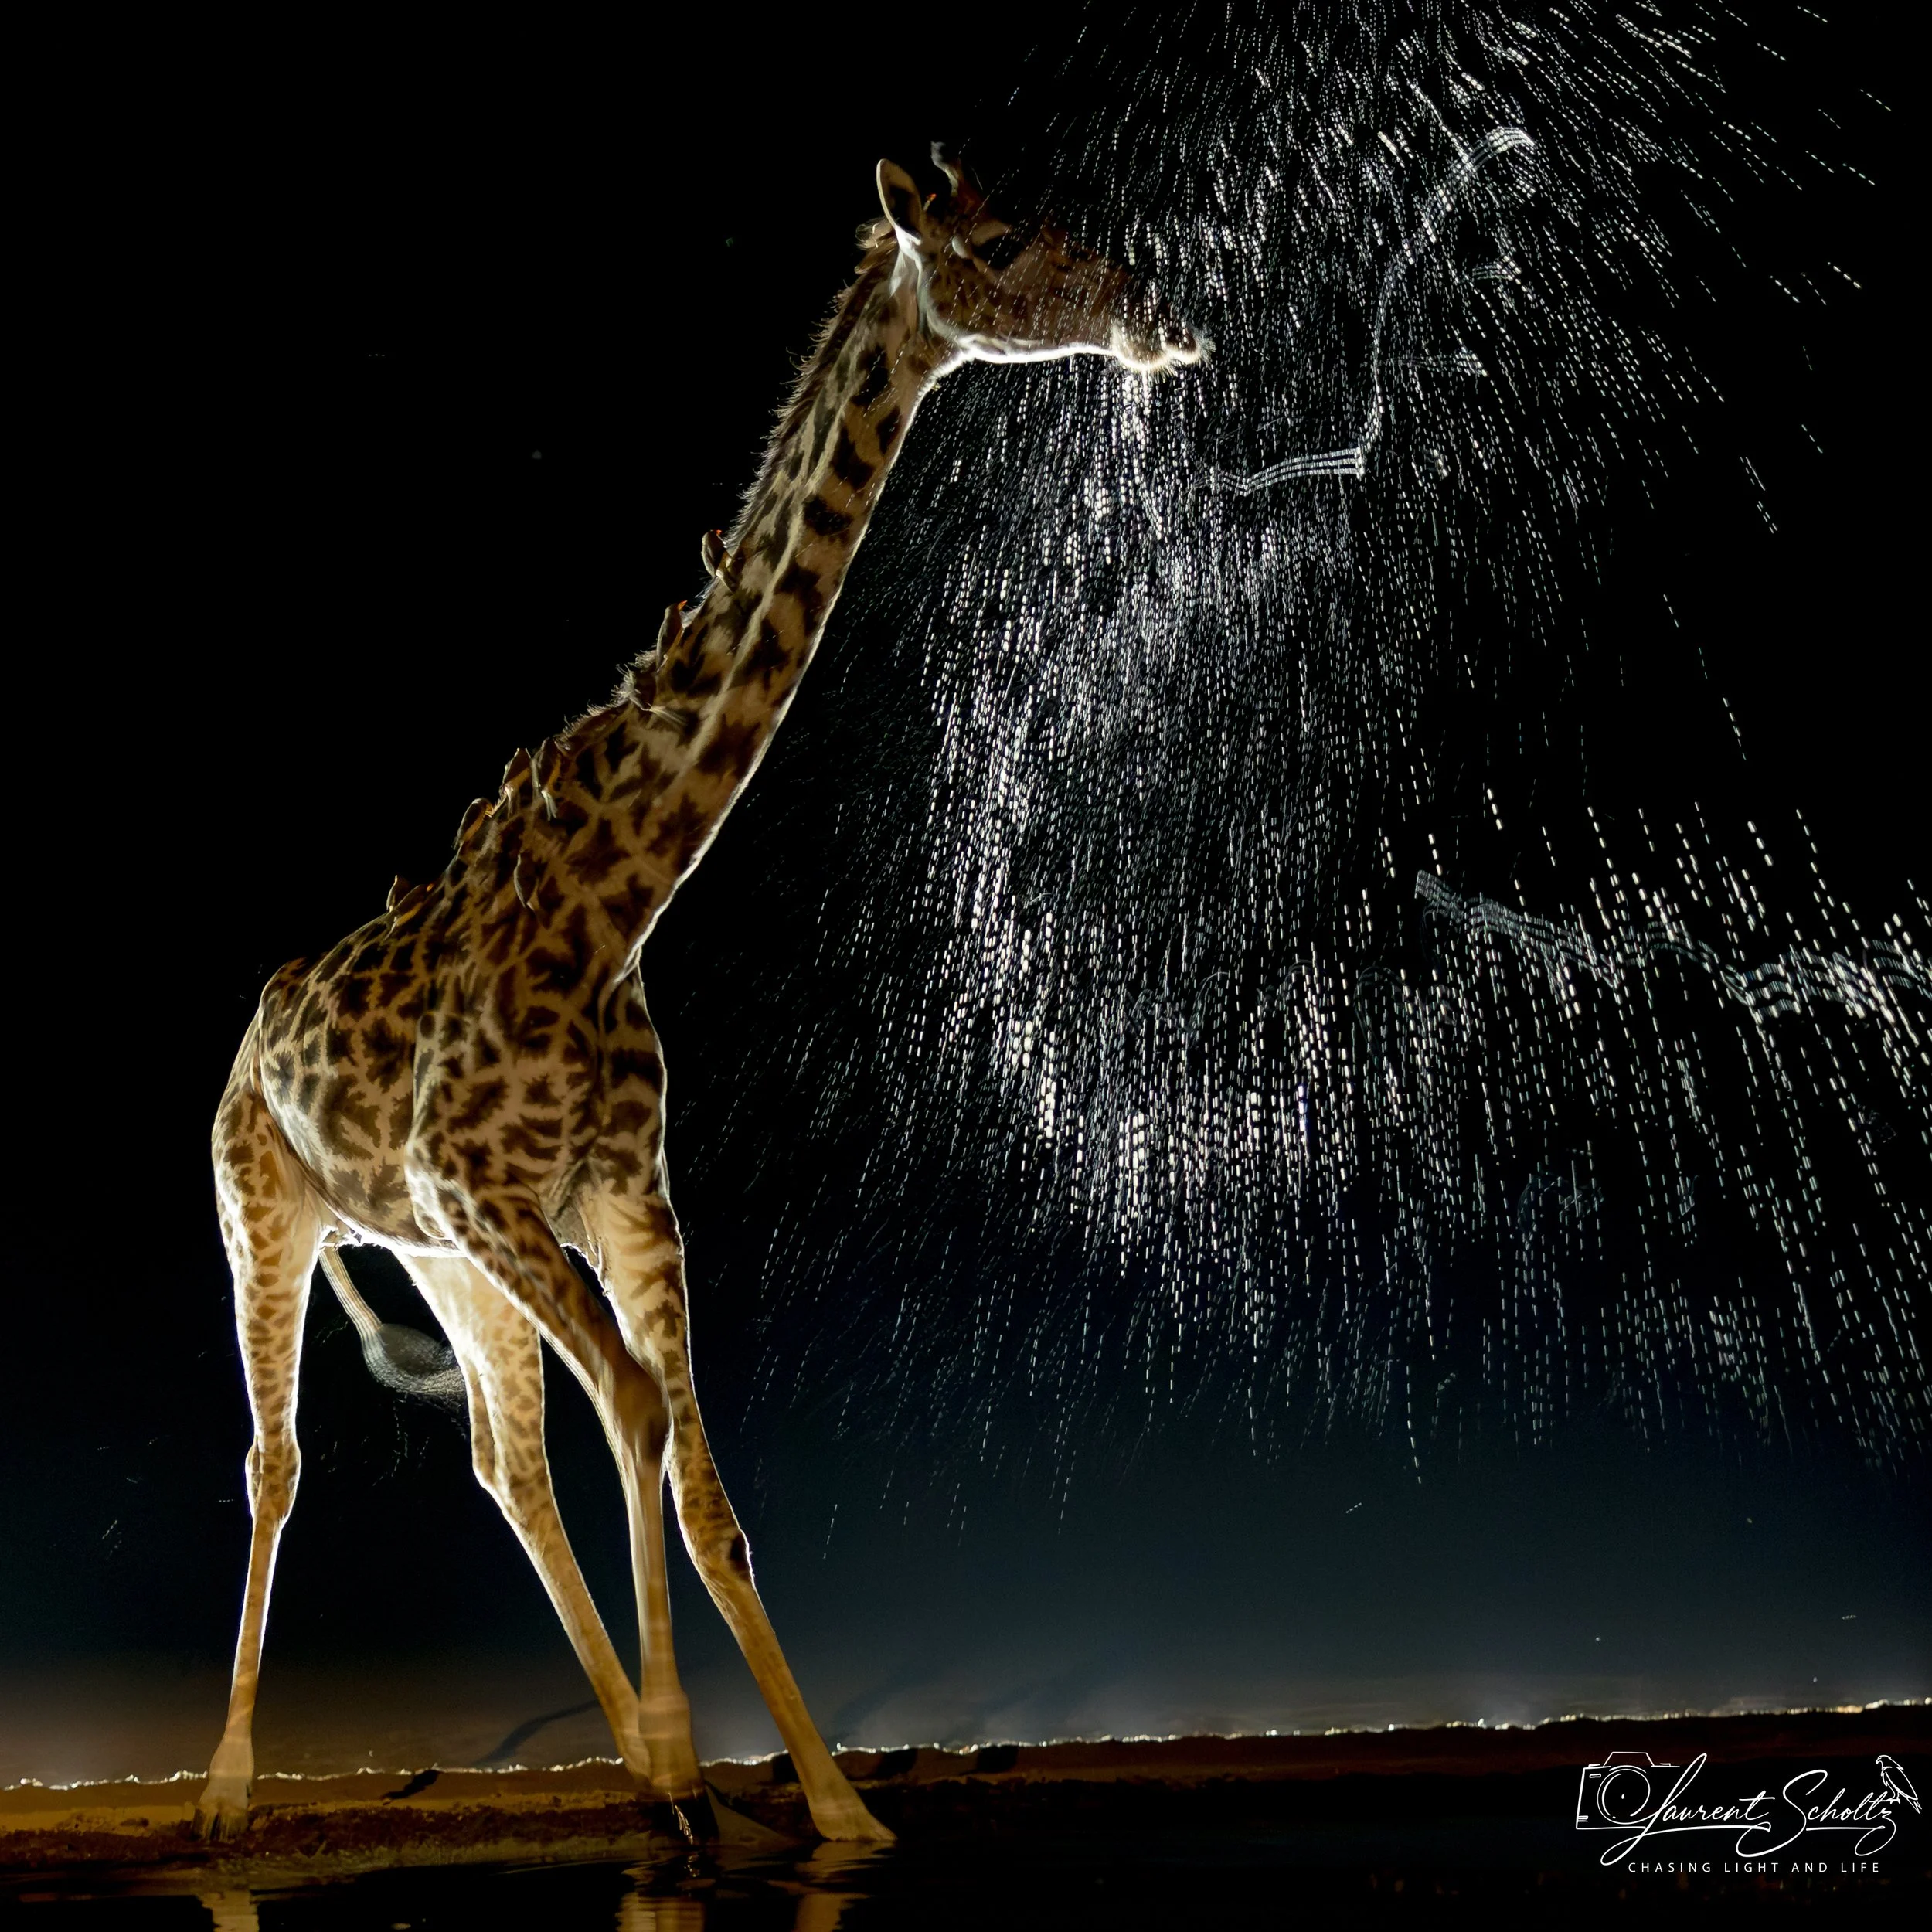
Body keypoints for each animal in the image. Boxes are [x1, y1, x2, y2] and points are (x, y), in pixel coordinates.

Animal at [195, 148, 1203, 1845]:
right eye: (1003, 242)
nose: (1163, 319)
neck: (614, 898)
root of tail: (247, 1036)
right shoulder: (494, 1192)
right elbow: (639, 1412)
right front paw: (687, 1761)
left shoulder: (618, 1190)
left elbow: (698, 1479)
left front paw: (825, 1808)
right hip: (269, 1215)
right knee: (279, 1461)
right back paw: (227, 1792)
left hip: (440, 1259)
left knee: (503, 1457)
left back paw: (640, 1770)